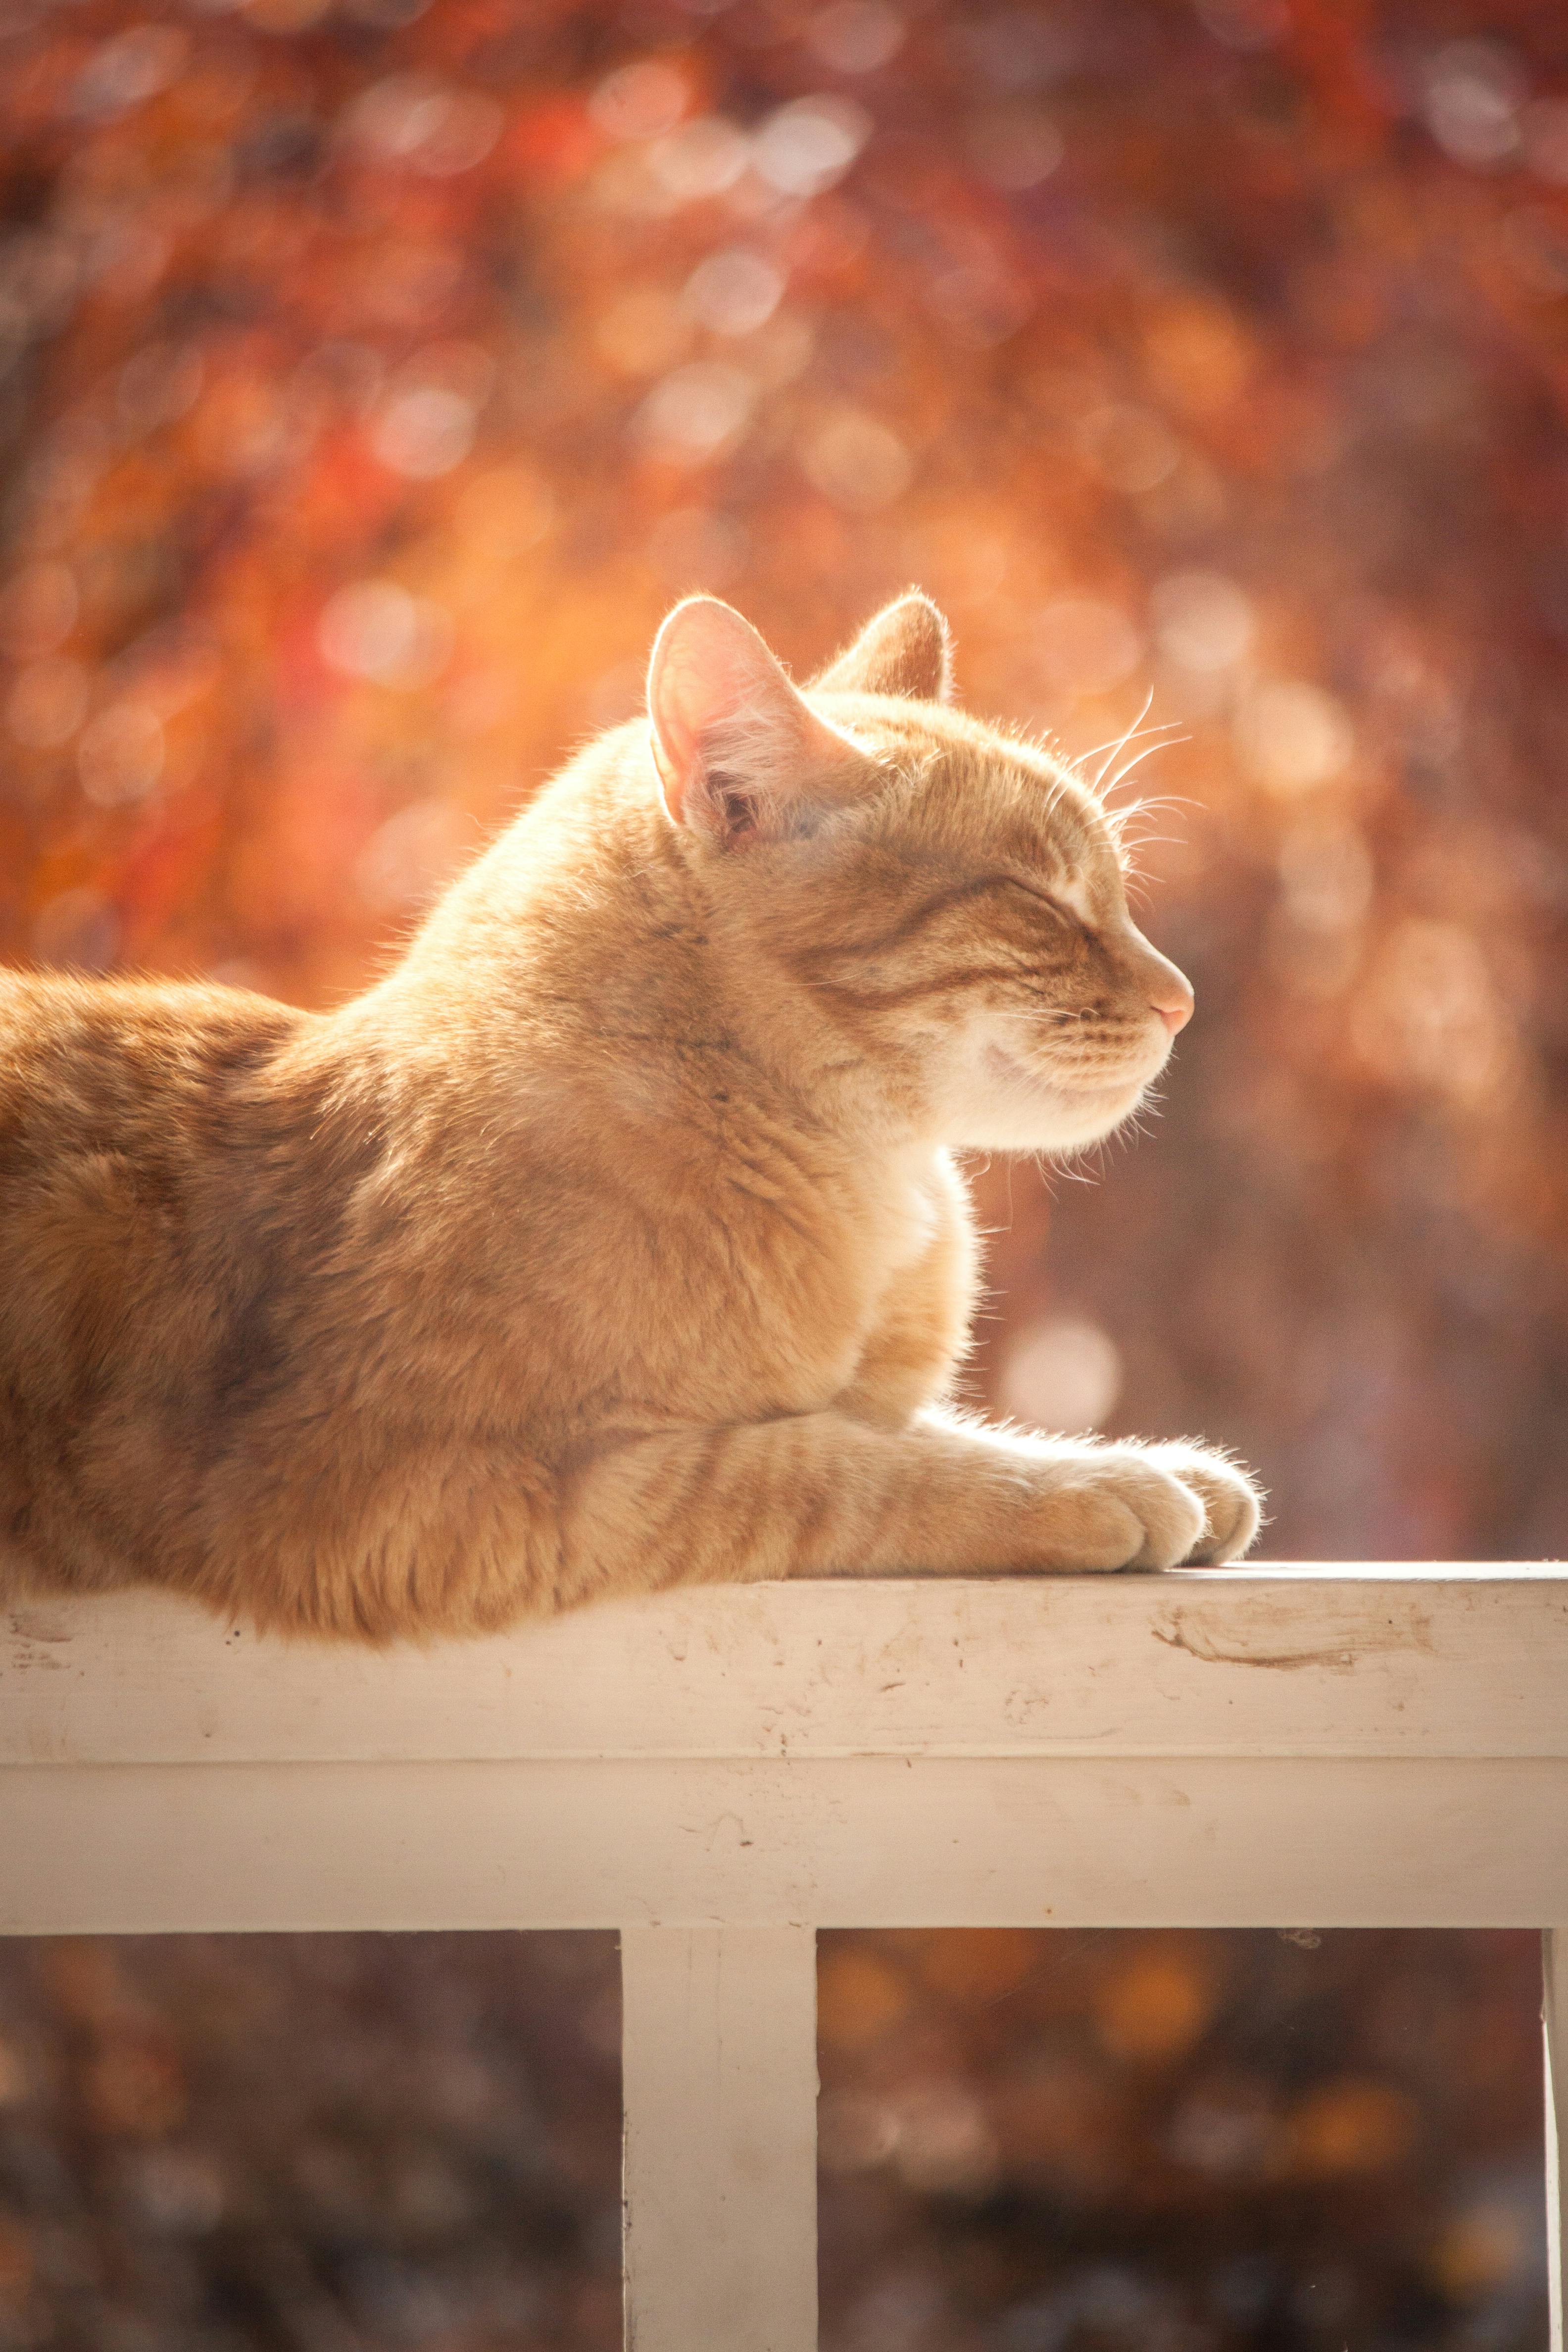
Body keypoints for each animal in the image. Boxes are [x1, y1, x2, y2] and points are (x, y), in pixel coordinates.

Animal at [0, 597, 1260, 1637]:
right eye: (1037, 900)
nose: (1182, 999)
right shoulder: (421, 1497)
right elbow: (825, 1467)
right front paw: (1082, 1485)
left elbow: (902, 1424)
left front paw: (1146, 1463)